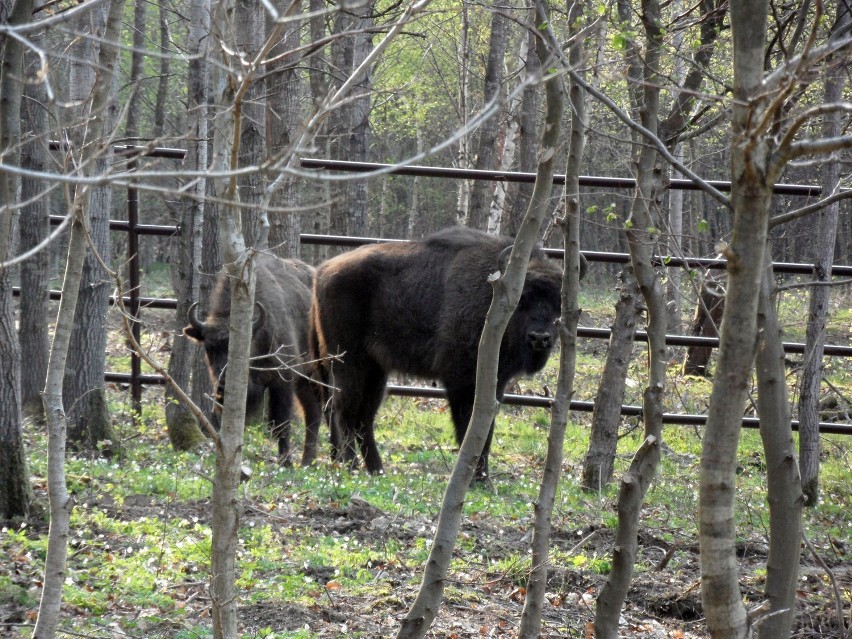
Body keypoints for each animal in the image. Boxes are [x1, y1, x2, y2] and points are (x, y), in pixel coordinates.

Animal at [184, 252, 322, 468]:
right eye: (208, 347)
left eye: (244, 343)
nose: (223, 383)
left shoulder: (282, 381)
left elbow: (281, 424)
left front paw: (286, 463)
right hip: (304, 382)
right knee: (313, 413)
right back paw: (308, 461)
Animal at [306, 225, 572, 480]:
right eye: (522, 299)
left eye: (558, 302)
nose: (539, 337)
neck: (495, 297)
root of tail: (322, 271)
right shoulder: (462, 381)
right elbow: (469, 428)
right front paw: (476, 477)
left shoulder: (495, 383)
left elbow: (485, 428)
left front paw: (483, 479)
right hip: (347, 363)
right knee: (344, 411)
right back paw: (351, 468)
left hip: (376, 372)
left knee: (364, 418)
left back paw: (377, 470)